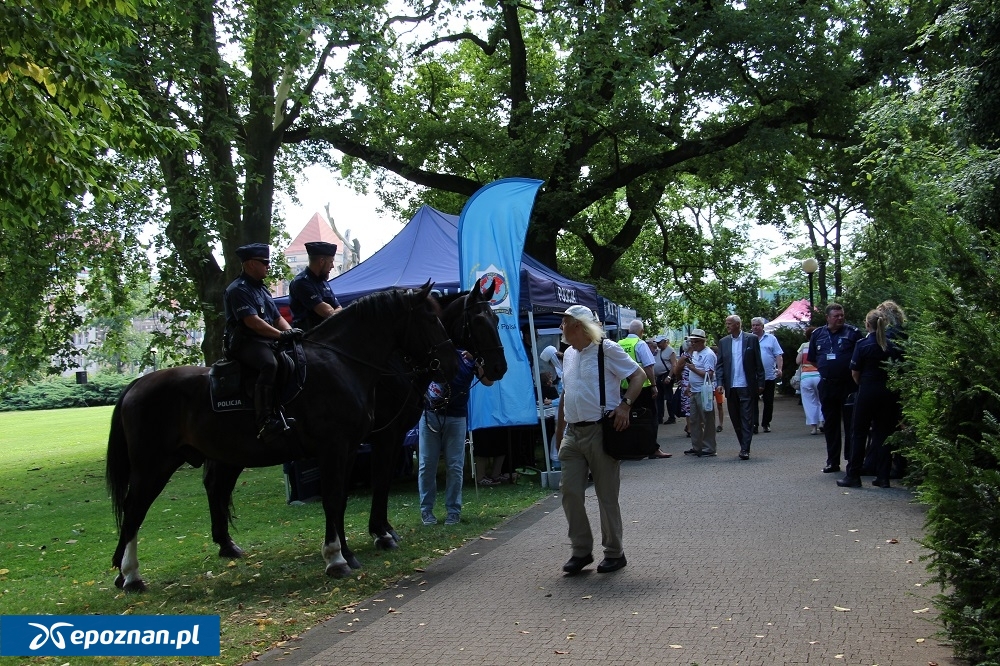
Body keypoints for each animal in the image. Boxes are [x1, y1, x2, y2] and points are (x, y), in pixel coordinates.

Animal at [104, 282, 458, 588]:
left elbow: (341, 500)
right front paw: (337, 558)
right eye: (430, 318)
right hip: (153, 467)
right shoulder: (341, 447)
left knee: (204, 491)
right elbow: (336, 498)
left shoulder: (348, 450)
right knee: (134, 511)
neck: (341, 362)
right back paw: (131, 575)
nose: (453, 363)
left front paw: (348, 553)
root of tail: (136, 384)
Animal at [198, 280, 504, 572]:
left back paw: (227, 544)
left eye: (496, 319)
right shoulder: (385, 436)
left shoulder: (386, 439)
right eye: (478, 321)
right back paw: (226, 544)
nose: (499, 368)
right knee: (216, 485)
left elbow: (377, 482)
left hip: (233, 452)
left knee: (217, 485)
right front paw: (380, 533)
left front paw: (380, 532)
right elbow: (379, 480)